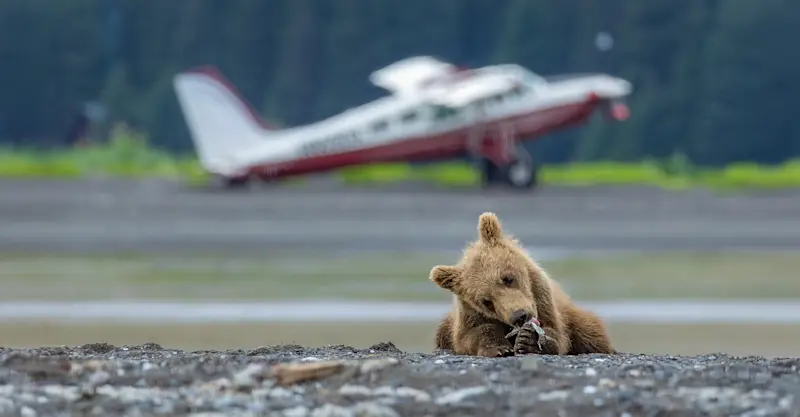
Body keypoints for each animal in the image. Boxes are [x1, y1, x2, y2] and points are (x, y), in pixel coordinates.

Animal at [429, 212, 617, 357]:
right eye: (486, 301)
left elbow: (556, 331)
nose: (519, 315)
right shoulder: (469, 313)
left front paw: (529, 340)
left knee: (590, 331)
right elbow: (472, 334)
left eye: (507, 278)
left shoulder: (542, 299)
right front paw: (499, 348)